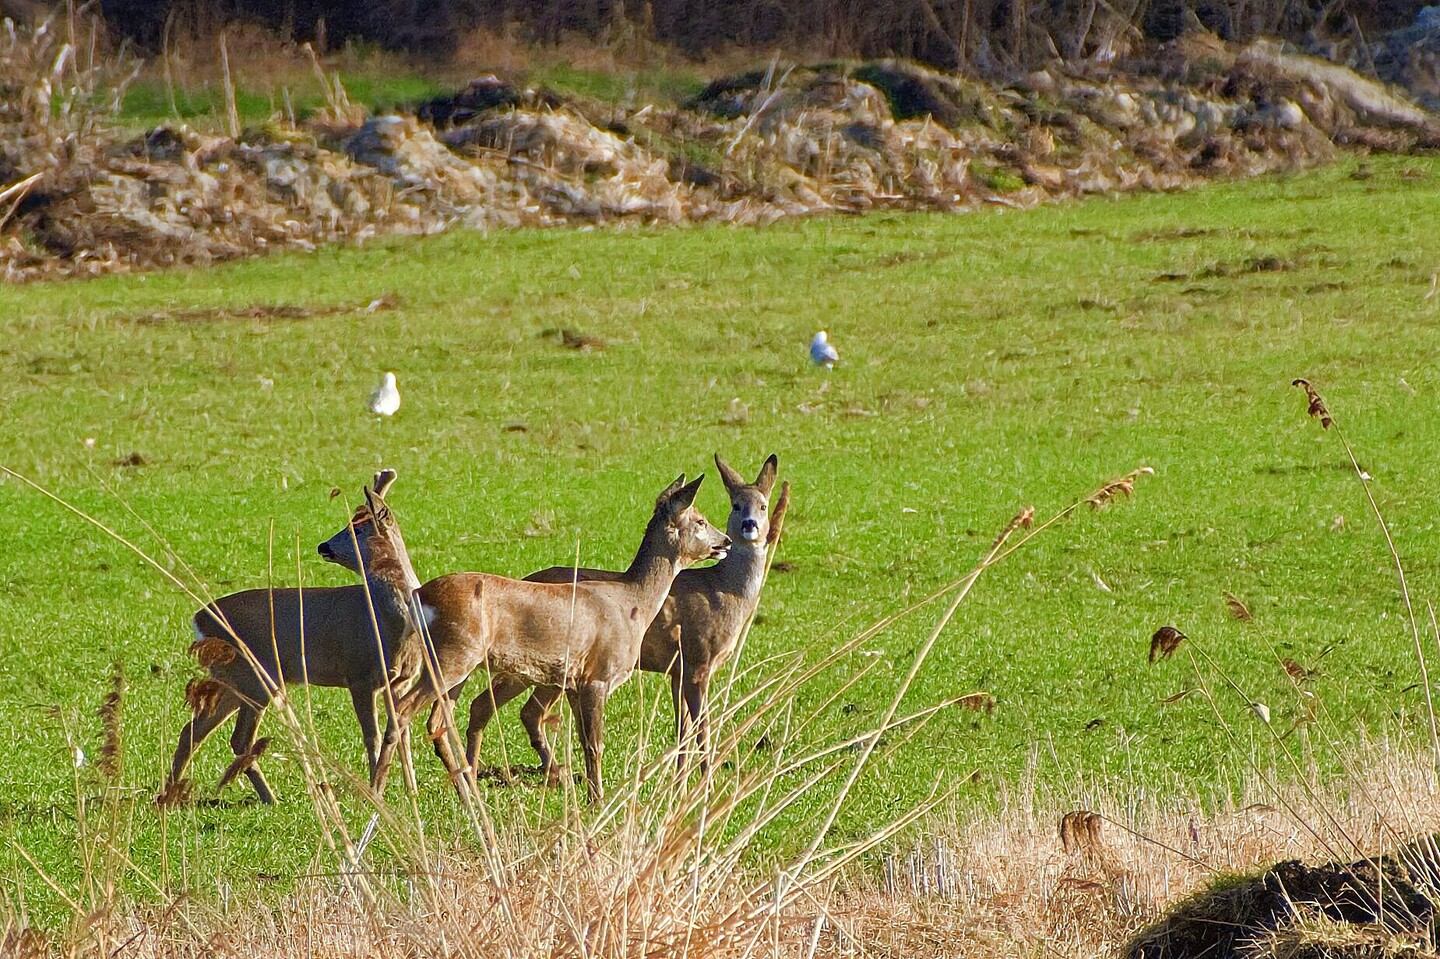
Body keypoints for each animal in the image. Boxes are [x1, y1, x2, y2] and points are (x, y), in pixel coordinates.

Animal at [164, 466, 420, 800]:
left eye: (358, 529)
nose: (323, 546)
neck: (386, 618)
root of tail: (199, 619)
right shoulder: (359, 674)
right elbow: (374, 736)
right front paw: (374, 790)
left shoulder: (401, 680)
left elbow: (401, 732)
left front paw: (411, 788)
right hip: (255, 676)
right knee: (239, 738)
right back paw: (269, 797)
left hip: (233, 679)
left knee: (193, 730)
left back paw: (169, 794)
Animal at [371, 472, 731, 800]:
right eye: (700, 520)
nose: (726, 541)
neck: (633, 605)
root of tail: (419, 596)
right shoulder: (598, 675)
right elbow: (595, 744)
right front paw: (598, 801)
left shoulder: (574, 681)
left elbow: (584, 742)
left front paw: (590, 796)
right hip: (452, 654)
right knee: (403, 710)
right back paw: (377, 792)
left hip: (455, 661)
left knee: (438, 721)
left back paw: (467, 793)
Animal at [466, 452, 789, 771]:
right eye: (735, 505)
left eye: (763, 505)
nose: (744, 529)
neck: (722, 589)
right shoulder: (697, 660)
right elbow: (701, 730)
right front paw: (704, 776)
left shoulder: (677, 670)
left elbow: (682, 730)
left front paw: (679, 777)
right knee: (514, 708)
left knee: (515, 709)